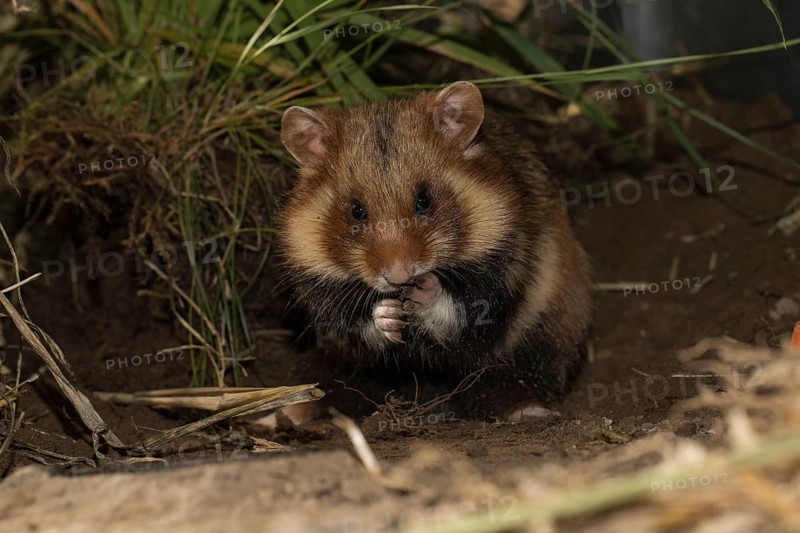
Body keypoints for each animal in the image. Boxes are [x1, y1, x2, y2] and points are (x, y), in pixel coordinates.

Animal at [279, 81, 592, 420]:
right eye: (356, 210)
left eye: (424, 199)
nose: (399, 276)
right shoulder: (322, 288)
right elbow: (357, 323)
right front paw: (388, 314)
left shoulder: (502, 270)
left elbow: (462, 312)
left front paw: (424, 292)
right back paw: (292, 412)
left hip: (547, 331)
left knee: (522, 377)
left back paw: (529, 412)